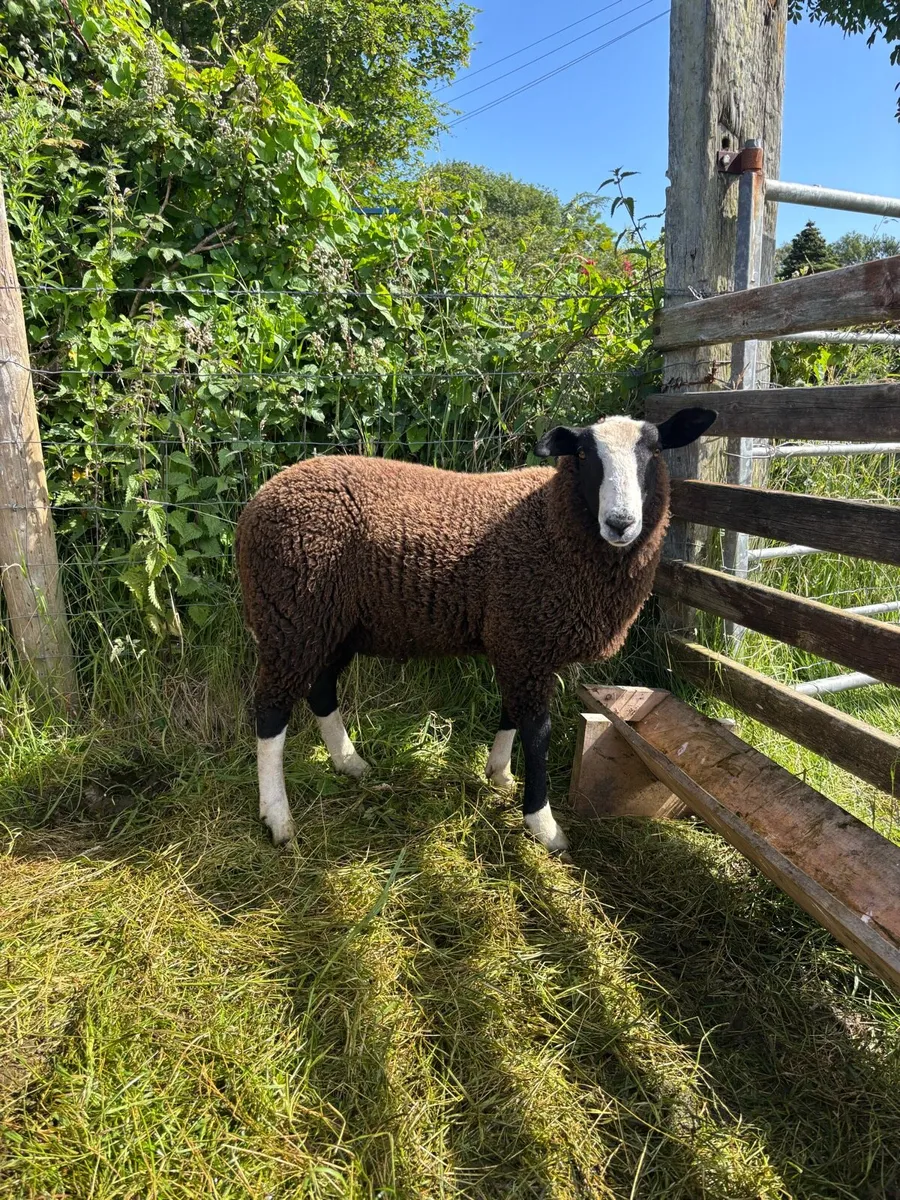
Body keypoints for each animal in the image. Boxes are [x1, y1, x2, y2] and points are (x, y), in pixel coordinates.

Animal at [236, 407, 716, 851]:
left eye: (655, 452)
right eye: (582, 454)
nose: (620, 523)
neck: (550, 520)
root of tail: (257, 502)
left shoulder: (518, 638)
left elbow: (512, 713)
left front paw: (499, 773)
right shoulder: (524, 636)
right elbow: (538, 733)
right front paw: (543, 824)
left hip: (332, 624)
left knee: (321, 690)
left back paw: (349, 763)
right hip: (291, 616)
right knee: (271, 711)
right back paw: (277, 817)